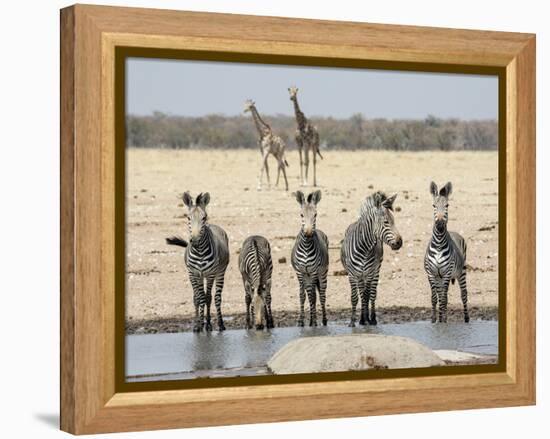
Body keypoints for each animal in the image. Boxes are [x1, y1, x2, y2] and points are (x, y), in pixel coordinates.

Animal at [166, 192, 231, 334]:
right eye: (188, 218)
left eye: (204, 217)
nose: (194, 241)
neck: (200, 251)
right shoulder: (193, 274)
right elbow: (198, 298)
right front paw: (198, 325)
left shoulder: (210, 274)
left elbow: (207, 298)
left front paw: (207, 325)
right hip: (200, 276)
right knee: (200, 297)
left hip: (220, 273)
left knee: (216, 298)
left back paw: (219, 324)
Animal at [292, 189, 330, 326]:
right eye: (301, 215)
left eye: (316, 215)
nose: (308, 233)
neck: (306, 247)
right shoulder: (300, 271)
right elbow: (302, 296)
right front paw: (301, 321)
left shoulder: (313, 271)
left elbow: (313, 296)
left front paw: (313, 322)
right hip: (306, 276)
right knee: (309, 294)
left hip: (322, 273)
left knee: (322, 295)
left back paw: (323, 320)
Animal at [426, 181, 470, 324]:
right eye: (434, 206)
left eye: (447, 206)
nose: (440, 225)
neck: (439, 244)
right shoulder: (431, 274)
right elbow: (435, 298)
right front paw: (434, 320)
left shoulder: (446, 273)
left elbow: (444, 299)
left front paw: (443, 321)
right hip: (440, 277)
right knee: (441, 295)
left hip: (461, 271)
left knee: (463, 294)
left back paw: (466, 318)